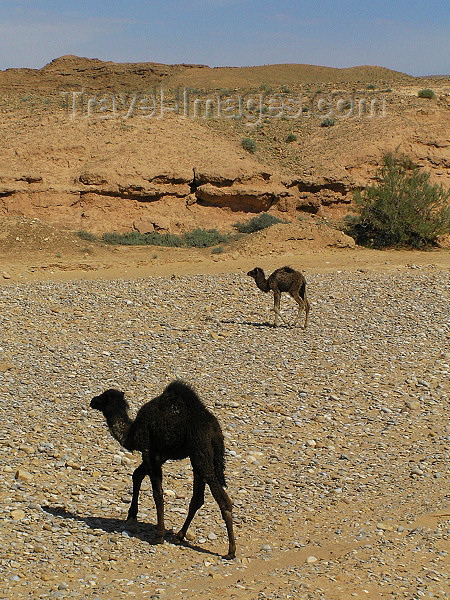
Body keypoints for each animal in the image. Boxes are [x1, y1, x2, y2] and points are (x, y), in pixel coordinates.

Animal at [88, 382, 236, 560]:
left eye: (104, 397)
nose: (92, 400)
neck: (132, 433)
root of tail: (215, 432)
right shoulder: (159, 456)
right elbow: (136, 475)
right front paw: (131, 516)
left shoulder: (148, 451)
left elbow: (157, 494)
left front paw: (158, 536)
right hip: (198, 457)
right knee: (197, 498)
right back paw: (179, 536)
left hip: (200, 452)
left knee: (222, 500)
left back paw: (231, 551)